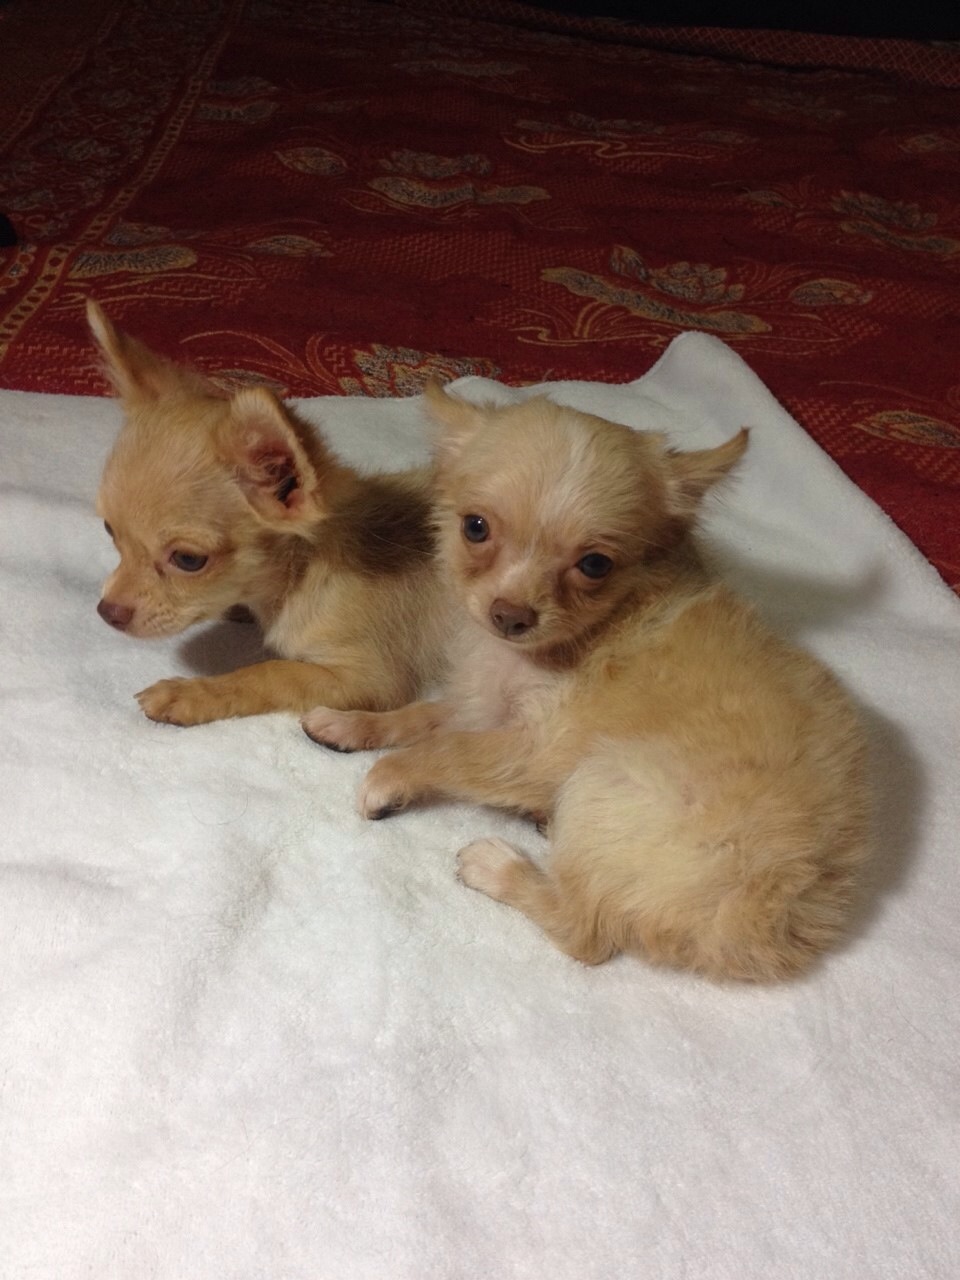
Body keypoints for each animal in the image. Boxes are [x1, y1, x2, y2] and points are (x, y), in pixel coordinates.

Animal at [91, 301, 448, 724]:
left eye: (189, 560)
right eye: (109, 531)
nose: (107, 612)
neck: (305, 569)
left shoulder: (370, 679)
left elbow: (271, 672)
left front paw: (193, 693)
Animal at [302, 383, 871, 981]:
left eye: (595, 565)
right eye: (474, 527)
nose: (510, 616)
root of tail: (774, 917)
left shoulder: (533, 748)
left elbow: (447, 749)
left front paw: (387, 777)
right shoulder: (485, 702)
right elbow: (420, 717)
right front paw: (349, 723)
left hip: (598, 781)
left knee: (586, 934)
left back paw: (497, 866)